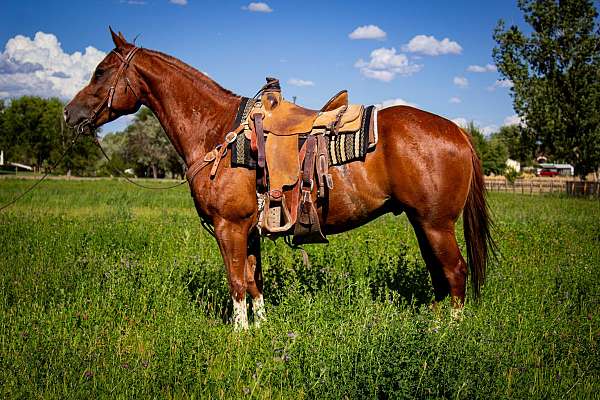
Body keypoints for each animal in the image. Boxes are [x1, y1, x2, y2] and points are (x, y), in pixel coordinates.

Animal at [64, 29, 492, 330]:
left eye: (100, 72)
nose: (69, 113)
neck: (218, 131)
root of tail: (457, 131)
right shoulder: (249, 229)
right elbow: (254, 280)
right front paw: (261, 328)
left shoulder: (229, 227)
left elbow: (236, 281)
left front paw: (238, 336)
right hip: (423, 223)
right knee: (440, 275)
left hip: (436, 224)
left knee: (456, 272)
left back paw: (447, 332)